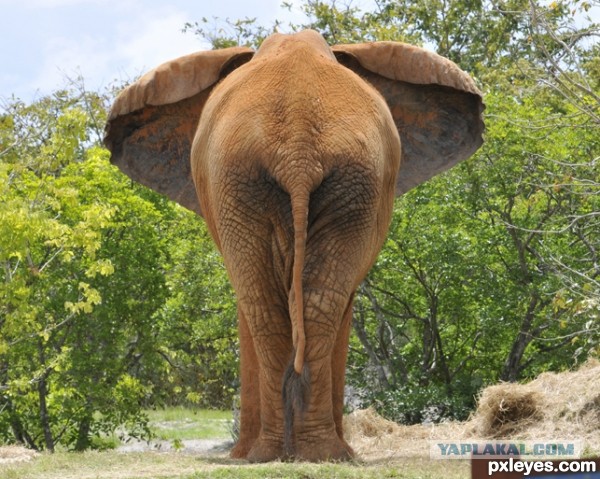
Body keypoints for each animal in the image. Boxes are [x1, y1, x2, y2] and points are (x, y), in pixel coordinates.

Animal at [104, 29, 482, 462]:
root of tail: (298, 144)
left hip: (285, 178)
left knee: (276, 306)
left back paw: (291, 453)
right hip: (298, 177)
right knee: (306, 304)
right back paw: (307, 453)